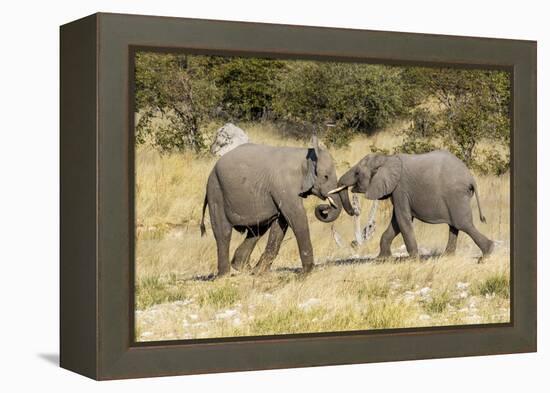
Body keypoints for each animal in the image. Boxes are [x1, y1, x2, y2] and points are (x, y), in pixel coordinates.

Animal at [203, 137, 358, 276]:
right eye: (325, 176)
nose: (324, 208)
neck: (305, 155)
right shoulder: (284, 184)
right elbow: (296, 218)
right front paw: (306, 273)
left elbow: (281, 223)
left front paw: (260, 273)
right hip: (216, 191)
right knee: (223, 232)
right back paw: (224, 275)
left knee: (257, 230)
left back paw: (245, 269)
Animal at [330, 150, 498, 258]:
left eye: (357, 173)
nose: (354, 211)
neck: (387, 159)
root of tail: (471, 178)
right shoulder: (397, 191)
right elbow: (396, 222)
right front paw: (382, 259)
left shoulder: (400, 189)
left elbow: (402, 219)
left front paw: (413, 259)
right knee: (455, 225)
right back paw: (447, 256)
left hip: (455, 195)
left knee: (463, 224)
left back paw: (487, 254)